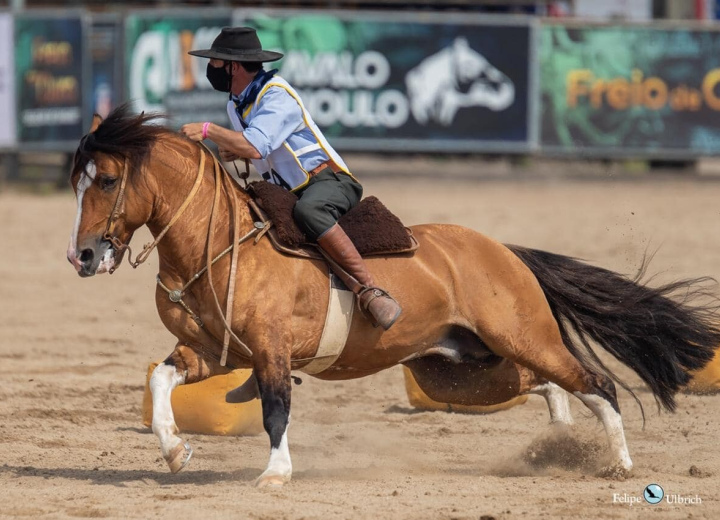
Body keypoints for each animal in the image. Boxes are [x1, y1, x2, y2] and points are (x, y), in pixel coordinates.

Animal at [67, 105, 720, 488]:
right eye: (75, 183)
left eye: (106, 179)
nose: (83, 256)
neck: (222, 243)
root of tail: (504, 251)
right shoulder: (210, 351)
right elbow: (161, 381)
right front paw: (176, 452)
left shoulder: (271, 352)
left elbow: (277, 408)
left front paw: (275, 473)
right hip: (457, 369)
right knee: (545, 384)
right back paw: (560, 443)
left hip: (522, 336)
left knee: (595, 382)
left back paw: (619, 464)